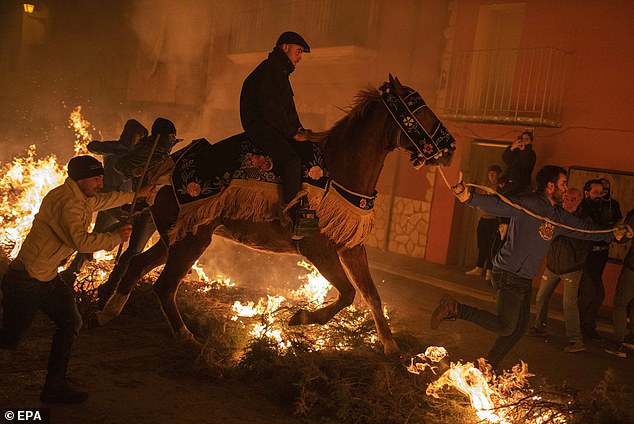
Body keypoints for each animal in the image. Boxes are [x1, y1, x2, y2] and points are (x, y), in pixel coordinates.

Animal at [96, 75, 454, 354]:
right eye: (418, 107)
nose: (450, 147)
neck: (340, 168)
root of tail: (163, 168)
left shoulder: (351, 248)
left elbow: (371, 295)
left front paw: (391, 347)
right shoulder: (318, 250)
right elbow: (349, 293)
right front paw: (302, 318)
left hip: (176, 235)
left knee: (138, 266)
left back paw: (109, 313)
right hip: (191, 240)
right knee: (165, 286)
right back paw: (186, 338)